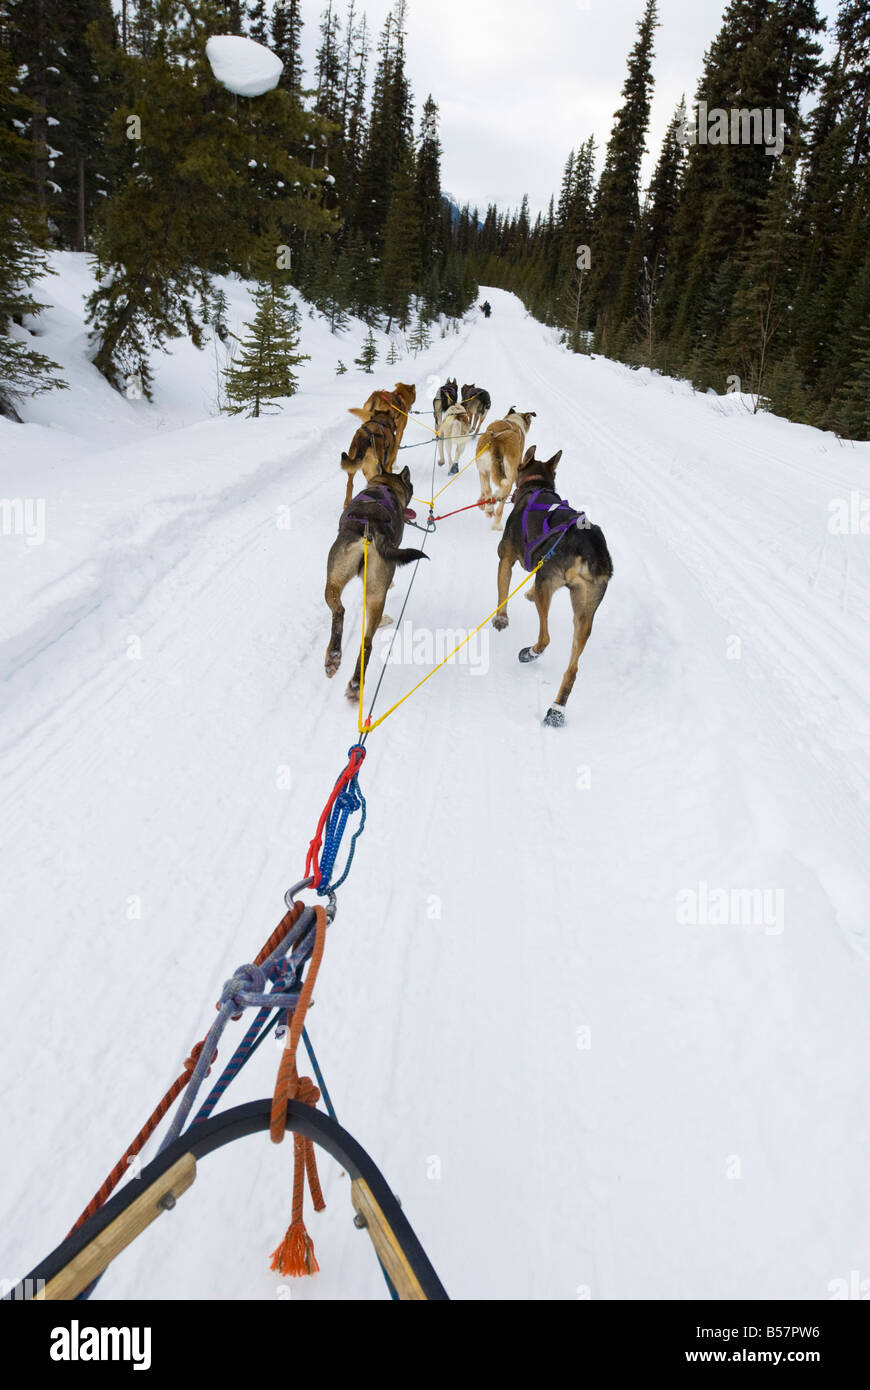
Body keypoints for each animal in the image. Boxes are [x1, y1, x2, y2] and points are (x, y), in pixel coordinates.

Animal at [322, 467, 428, 700]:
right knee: (367, 643)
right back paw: (355, 683)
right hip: (376, 593)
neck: (384, 485)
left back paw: (335, 658)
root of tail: (369, 532)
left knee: (340, 611)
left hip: (333, 582)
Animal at [491, 447, 614, 733]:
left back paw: (530, 653)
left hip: (546, 583)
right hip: (585, 612)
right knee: (573, 669)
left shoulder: (506, 558)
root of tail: (591, 549)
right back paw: (556, 710)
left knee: (545, 637)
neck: (536, 486)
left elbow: (503, 590)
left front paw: (501, 618)